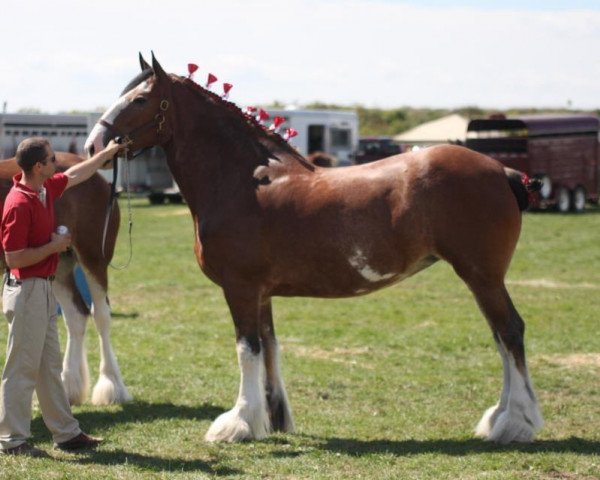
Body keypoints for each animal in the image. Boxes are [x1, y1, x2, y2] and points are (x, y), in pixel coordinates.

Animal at [85, 54, 544, 444]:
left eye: (140, 99)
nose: (93, 146)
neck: (243, 181)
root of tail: (501, 170)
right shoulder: (262, 292)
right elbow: (269, 347)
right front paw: (272, 418)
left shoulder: (240, 287)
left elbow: (247, 349)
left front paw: (238, 423)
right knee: (501, 337)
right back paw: (498, 418)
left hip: (482, 276)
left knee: (510, 331)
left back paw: (514, 423)